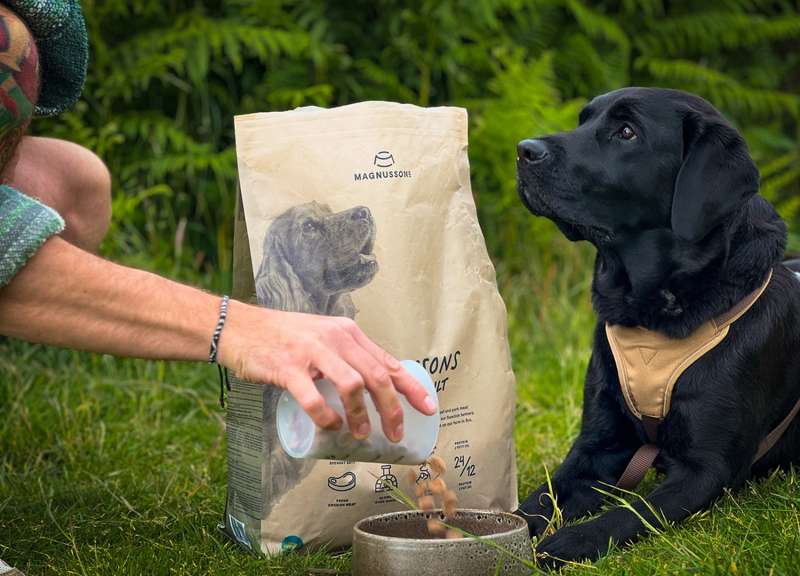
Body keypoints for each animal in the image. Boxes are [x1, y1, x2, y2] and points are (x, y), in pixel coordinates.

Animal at [512, 89, 800, 568]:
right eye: (583, 120)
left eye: (627, 132)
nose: (523, 150)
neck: (650, 314)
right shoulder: (597, 445)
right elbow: (536, 501)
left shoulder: (707, 469)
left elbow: (631, 512)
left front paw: (570, 541)